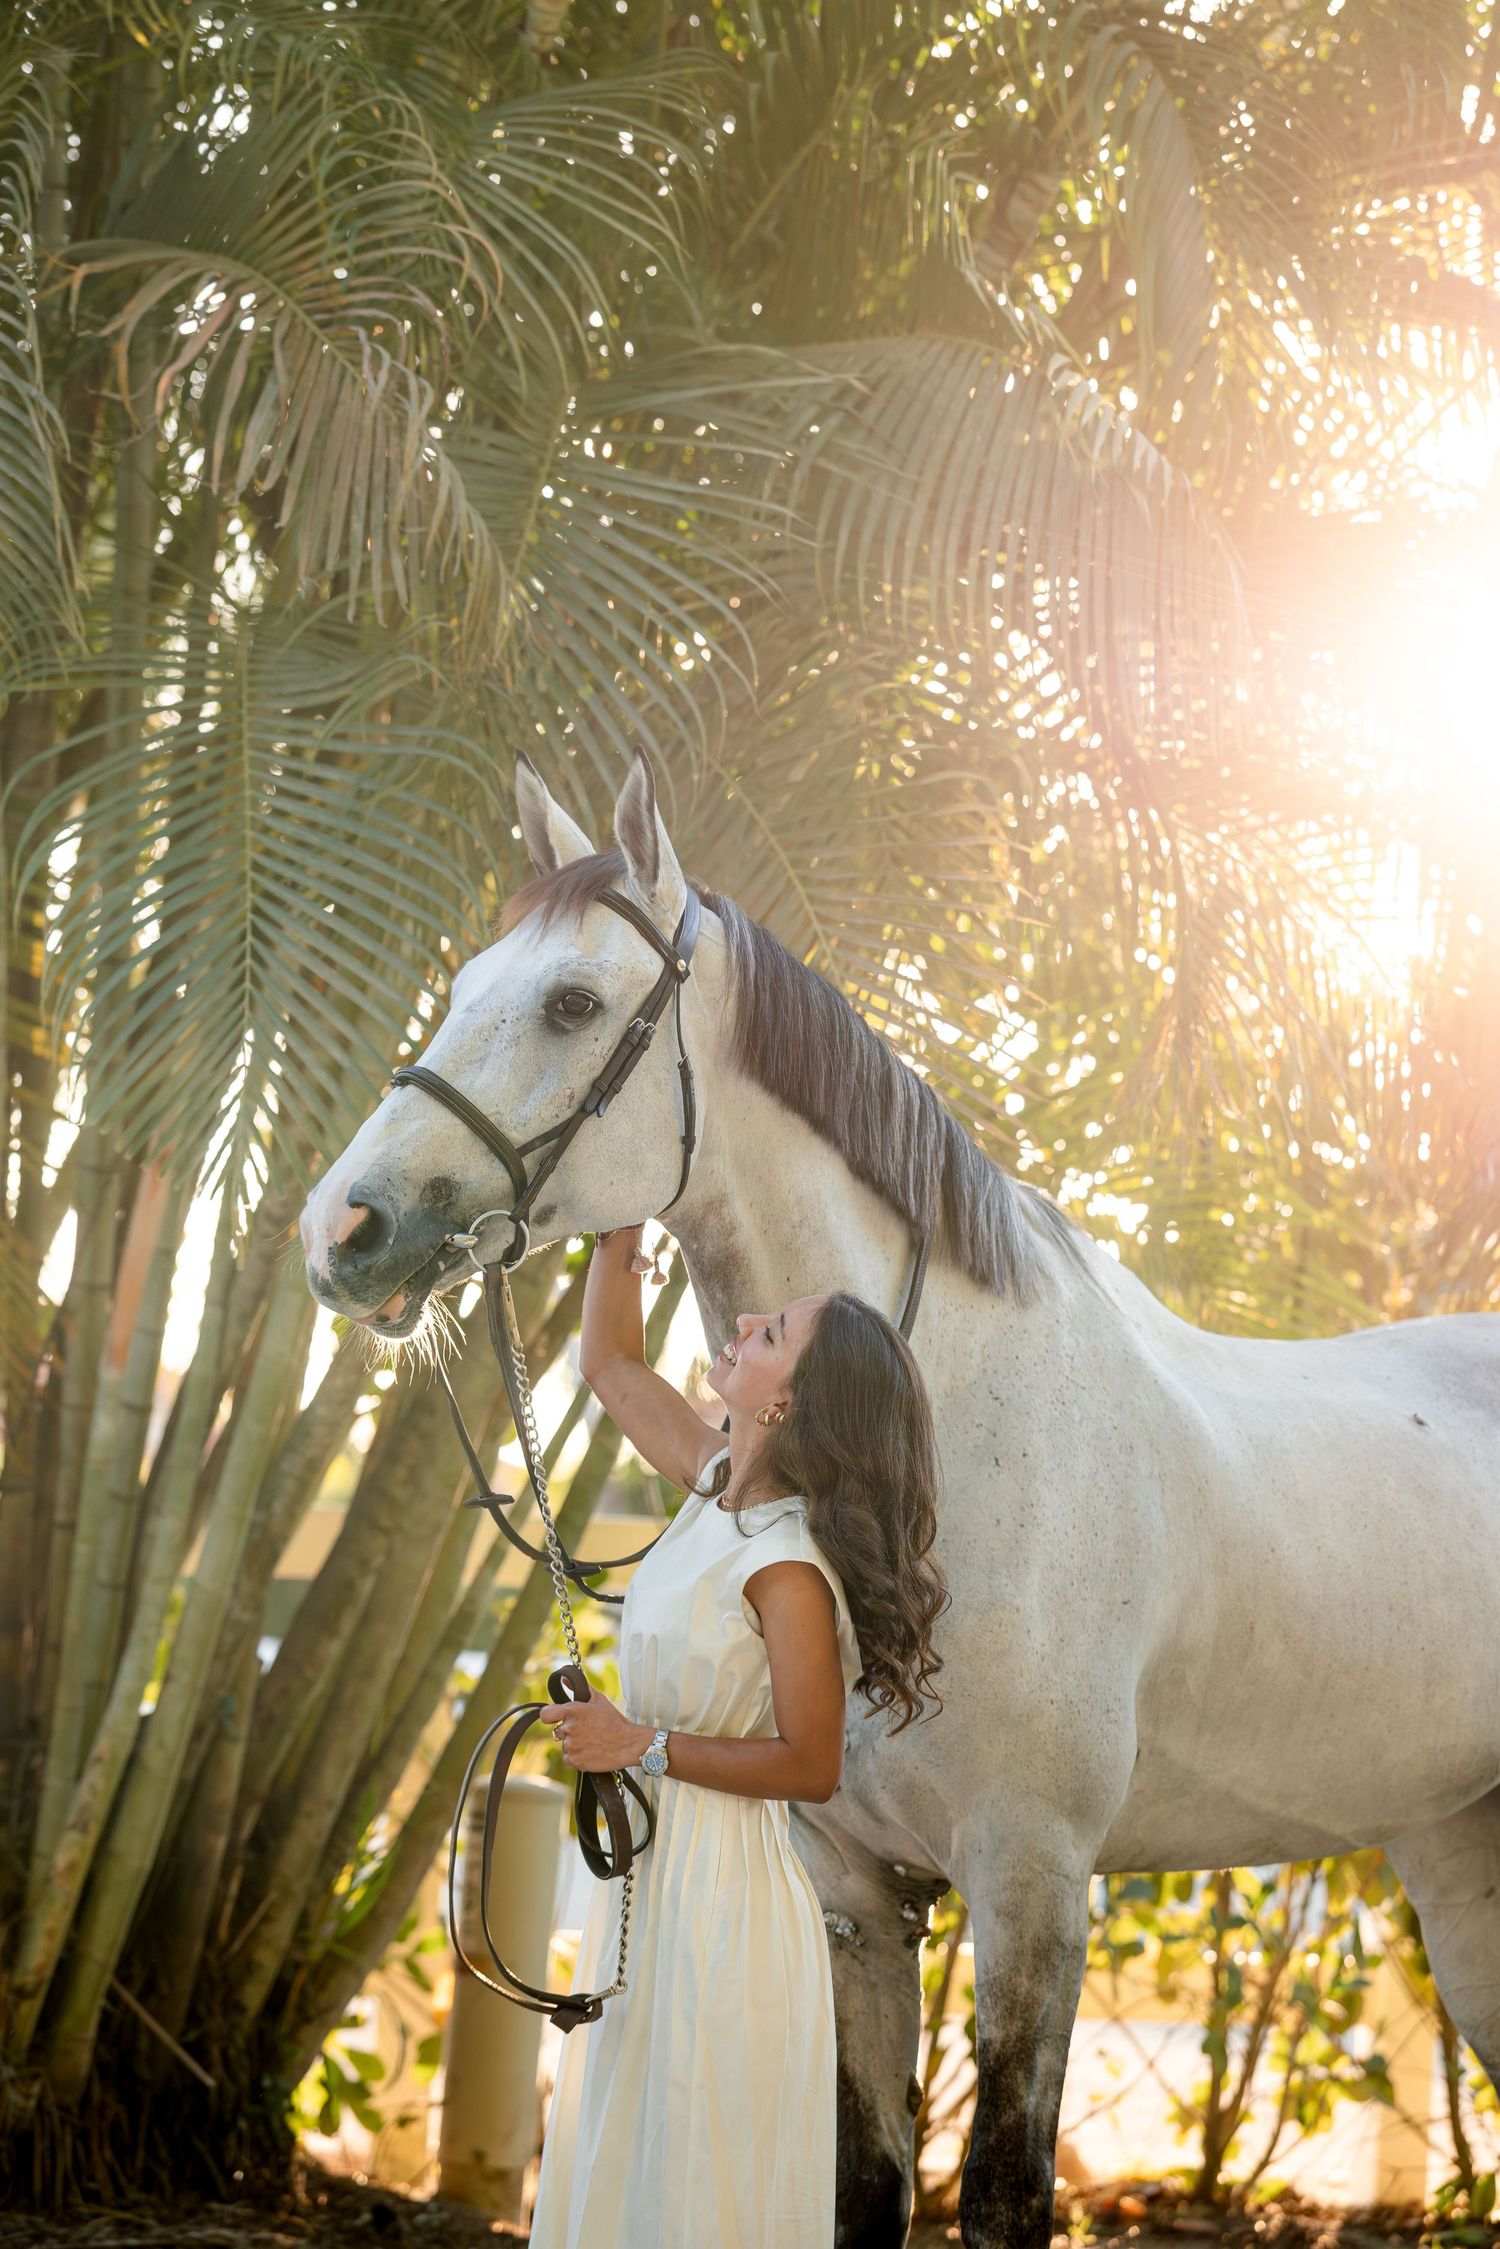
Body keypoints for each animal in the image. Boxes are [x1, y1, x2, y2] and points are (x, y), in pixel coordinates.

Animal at [300, 750, 1500, 2247]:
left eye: (571, 1000)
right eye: (465, 980)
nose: (342, 1232)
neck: (944, 1438)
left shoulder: (1033, 1883)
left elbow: (1001, 2191)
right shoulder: (856, 1895)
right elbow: (866, 2183)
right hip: (1458, 1858)